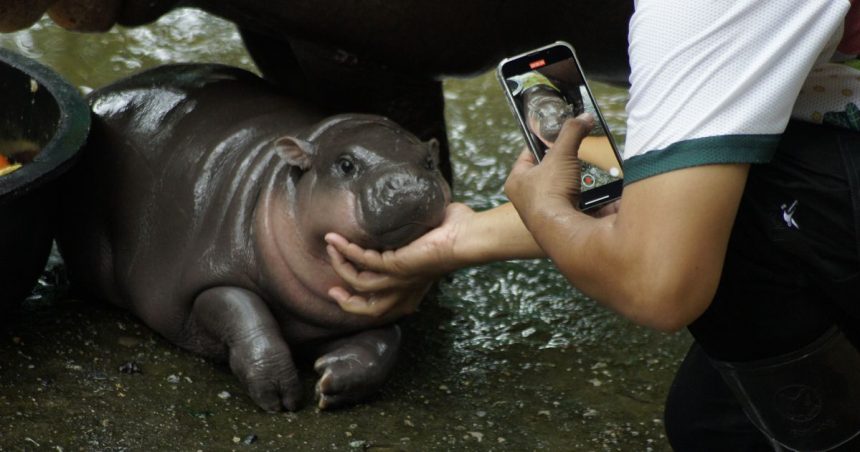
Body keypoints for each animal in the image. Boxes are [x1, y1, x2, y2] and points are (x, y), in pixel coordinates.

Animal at [55, 63, 450, 410]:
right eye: (346, 164)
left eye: (430, 163)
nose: (407, 183)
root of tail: (98, 95)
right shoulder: (208, 280)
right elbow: (248, 316)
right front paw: (279, 396)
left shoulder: (368, 312)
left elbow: (386, 342)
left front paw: (333, 381)